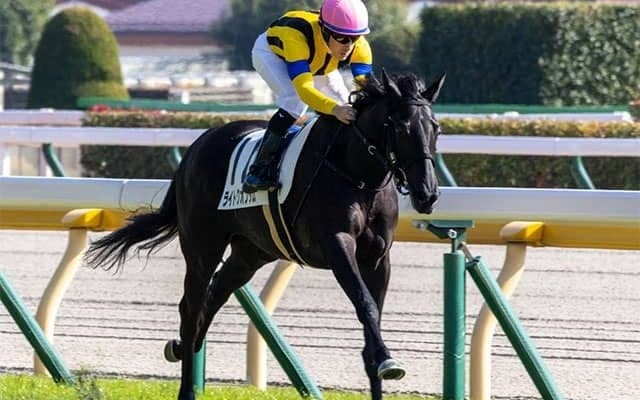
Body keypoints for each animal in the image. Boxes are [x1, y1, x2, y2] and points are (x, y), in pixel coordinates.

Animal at [85, 70, 445, 400]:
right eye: (401, 128)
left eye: (435, 127)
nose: (427, 194)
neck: (356, 175)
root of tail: (197, 146)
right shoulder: (337, 244)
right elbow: (365, 303)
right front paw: (390, 361)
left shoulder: (377, 257)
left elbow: (373, 320)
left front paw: (382, 361)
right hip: (202, 246)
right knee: (191, 305)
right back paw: (186, 385)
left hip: (251, 253)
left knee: (213, 297)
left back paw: (179, 346)